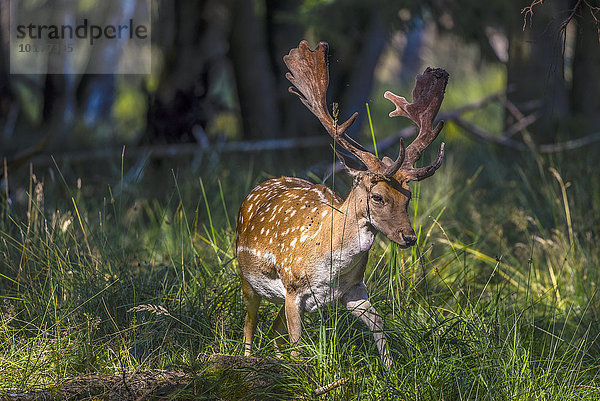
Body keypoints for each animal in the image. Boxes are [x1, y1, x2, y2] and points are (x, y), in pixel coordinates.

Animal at [234, 41, 446, 366]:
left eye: (408, 197)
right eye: (377, 196)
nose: (409, 237)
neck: (328, 263)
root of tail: (258, 187)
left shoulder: (353, 290)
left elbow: (379, 322)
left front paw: (390, 369)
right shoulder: (293, 287)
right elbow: (298, 344)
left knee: (273, 328)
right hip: (246, 278)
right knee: (250, 323)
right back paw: (246, 359)